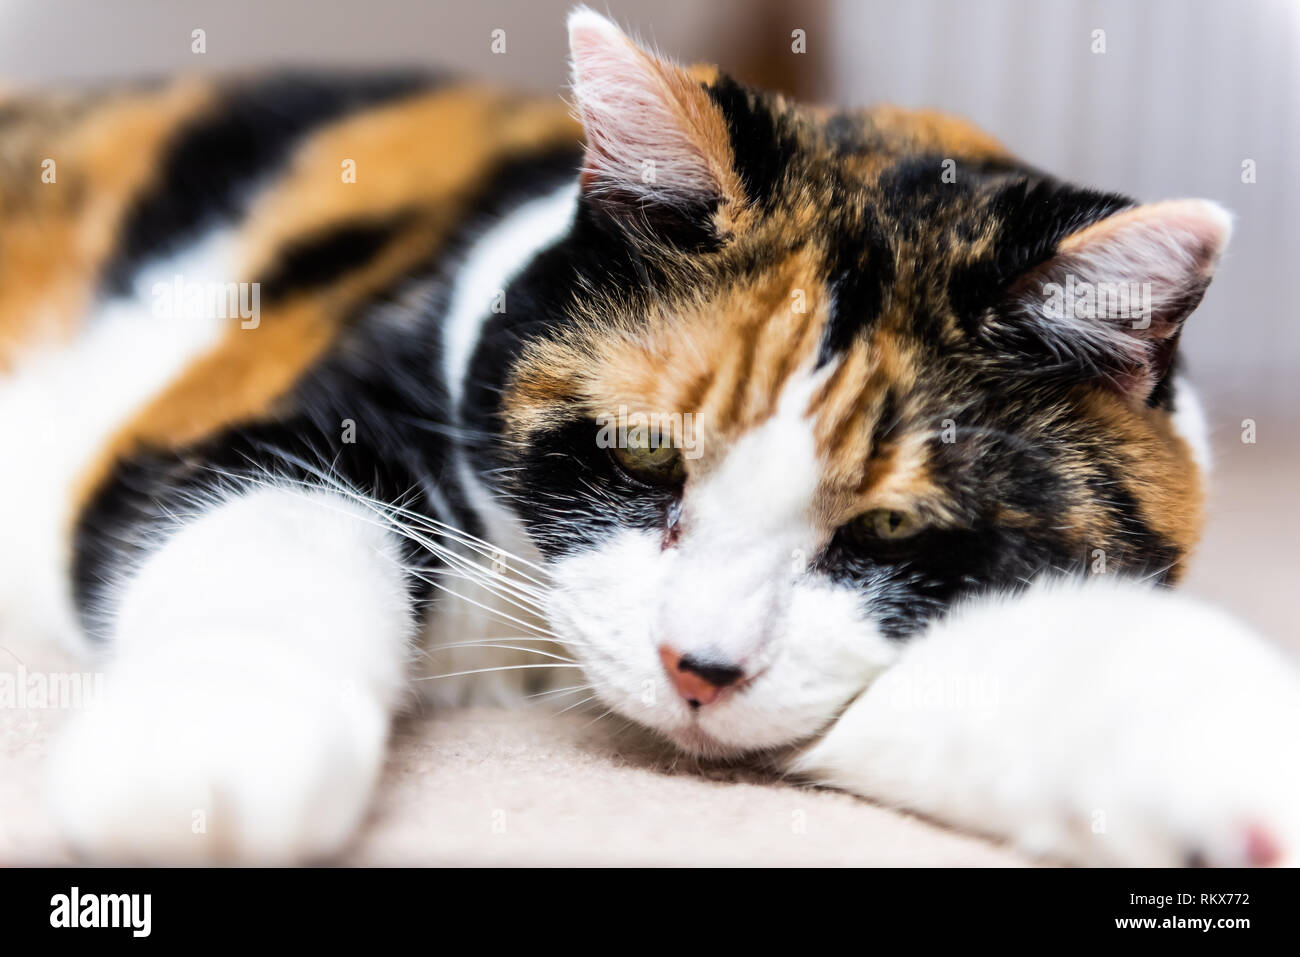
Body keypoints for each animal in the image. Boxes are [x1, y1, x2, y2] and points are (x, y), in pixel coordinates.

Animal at [2, 7, 1300, 863]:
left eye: (888, 527)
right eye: (641, 454)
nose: (698, 669)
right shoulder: (284, 401)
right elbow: (272, 532)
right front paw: (204, 758)